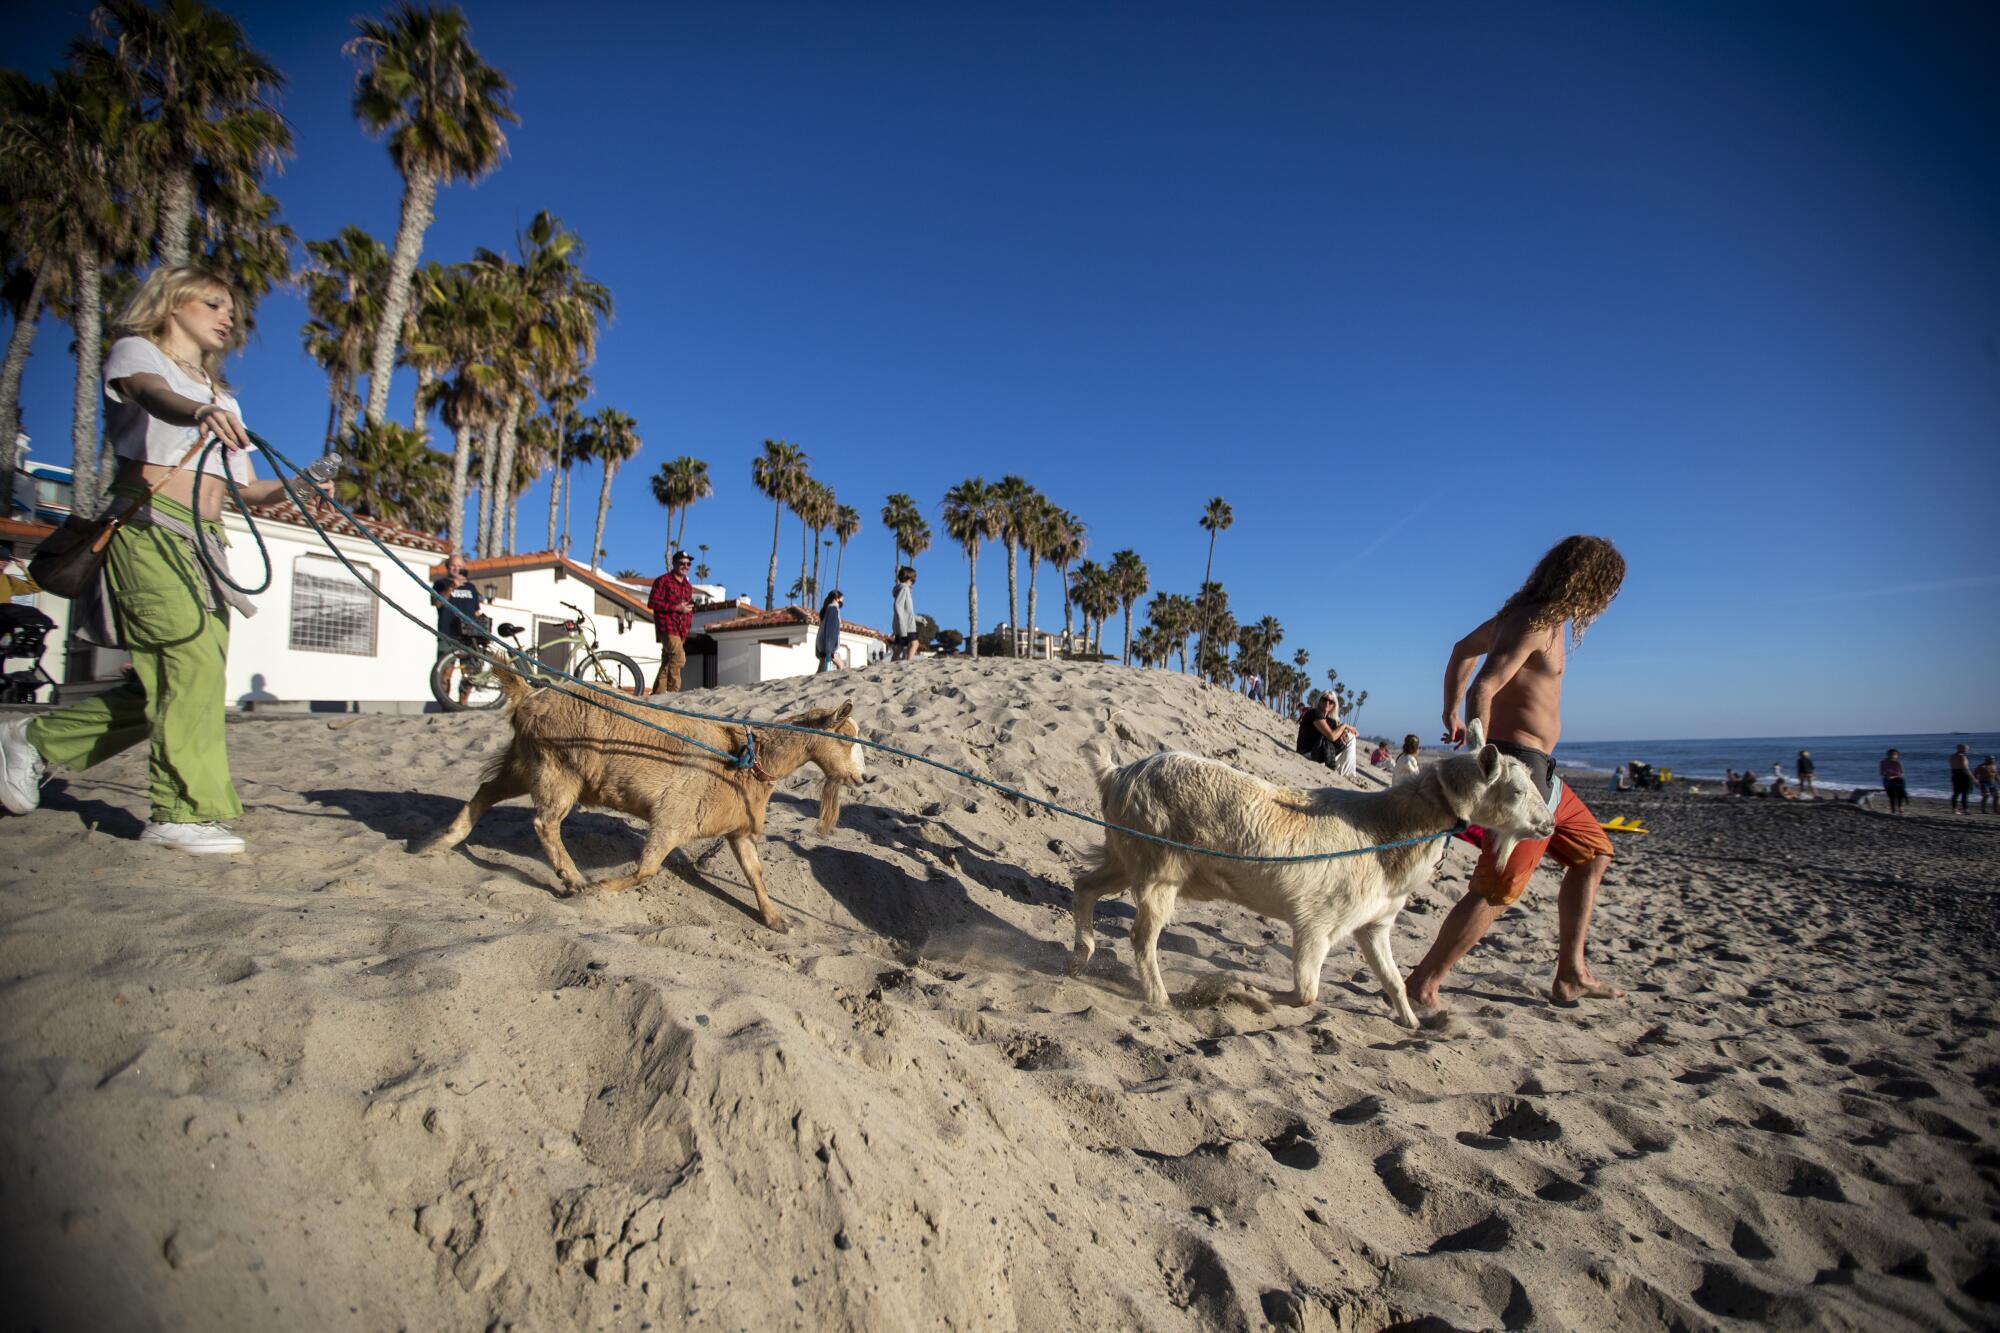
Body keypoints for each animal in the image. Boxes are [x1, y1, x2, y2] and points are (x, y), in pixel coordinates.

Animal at [414, 664, 860, 924]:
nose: (864, 778)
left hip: (524, 765)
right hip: (555, 770)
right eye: (847, 740)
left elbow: (755, 873)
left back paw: (439, 843)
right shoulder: (671, 821)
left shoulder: (737, 831)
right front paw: (601, 889)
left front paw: (774, 918)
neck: (745, 758)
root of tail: (530, 695)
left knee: (486, 792)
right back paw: (575, 879)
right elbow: (646, 871)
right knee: (544, 823)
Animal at [1072, 716, 1552, 1016]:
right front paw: (1248, 992)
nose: (1547, 825)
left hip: (1127, 852)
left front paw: (1413, 1022)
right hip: (1159, 866)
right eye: (1515, 790)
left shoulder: (1373, 924)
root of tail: (1117, 775)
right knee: (1141, 935)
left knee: (1085, 885)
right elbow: (1307, 993)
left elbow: (1392, 979)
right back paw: (1158, 998)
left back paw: (1082, 956)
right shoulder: (1317, 923)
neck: (1388, 829)